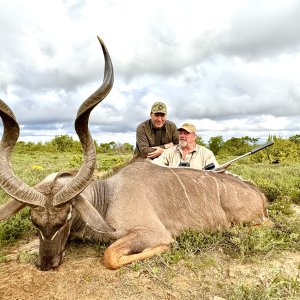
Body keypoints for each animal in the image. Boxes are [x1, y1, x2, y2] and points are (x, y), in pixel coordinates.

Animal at [0, 37, 268, 270]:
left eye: (66, 217)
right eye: (34, 221)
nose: (46, 264)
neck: (107, 196)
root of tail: (259, 195)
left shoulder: (150, 232)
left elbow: (110, 255)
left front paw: (168, 246)